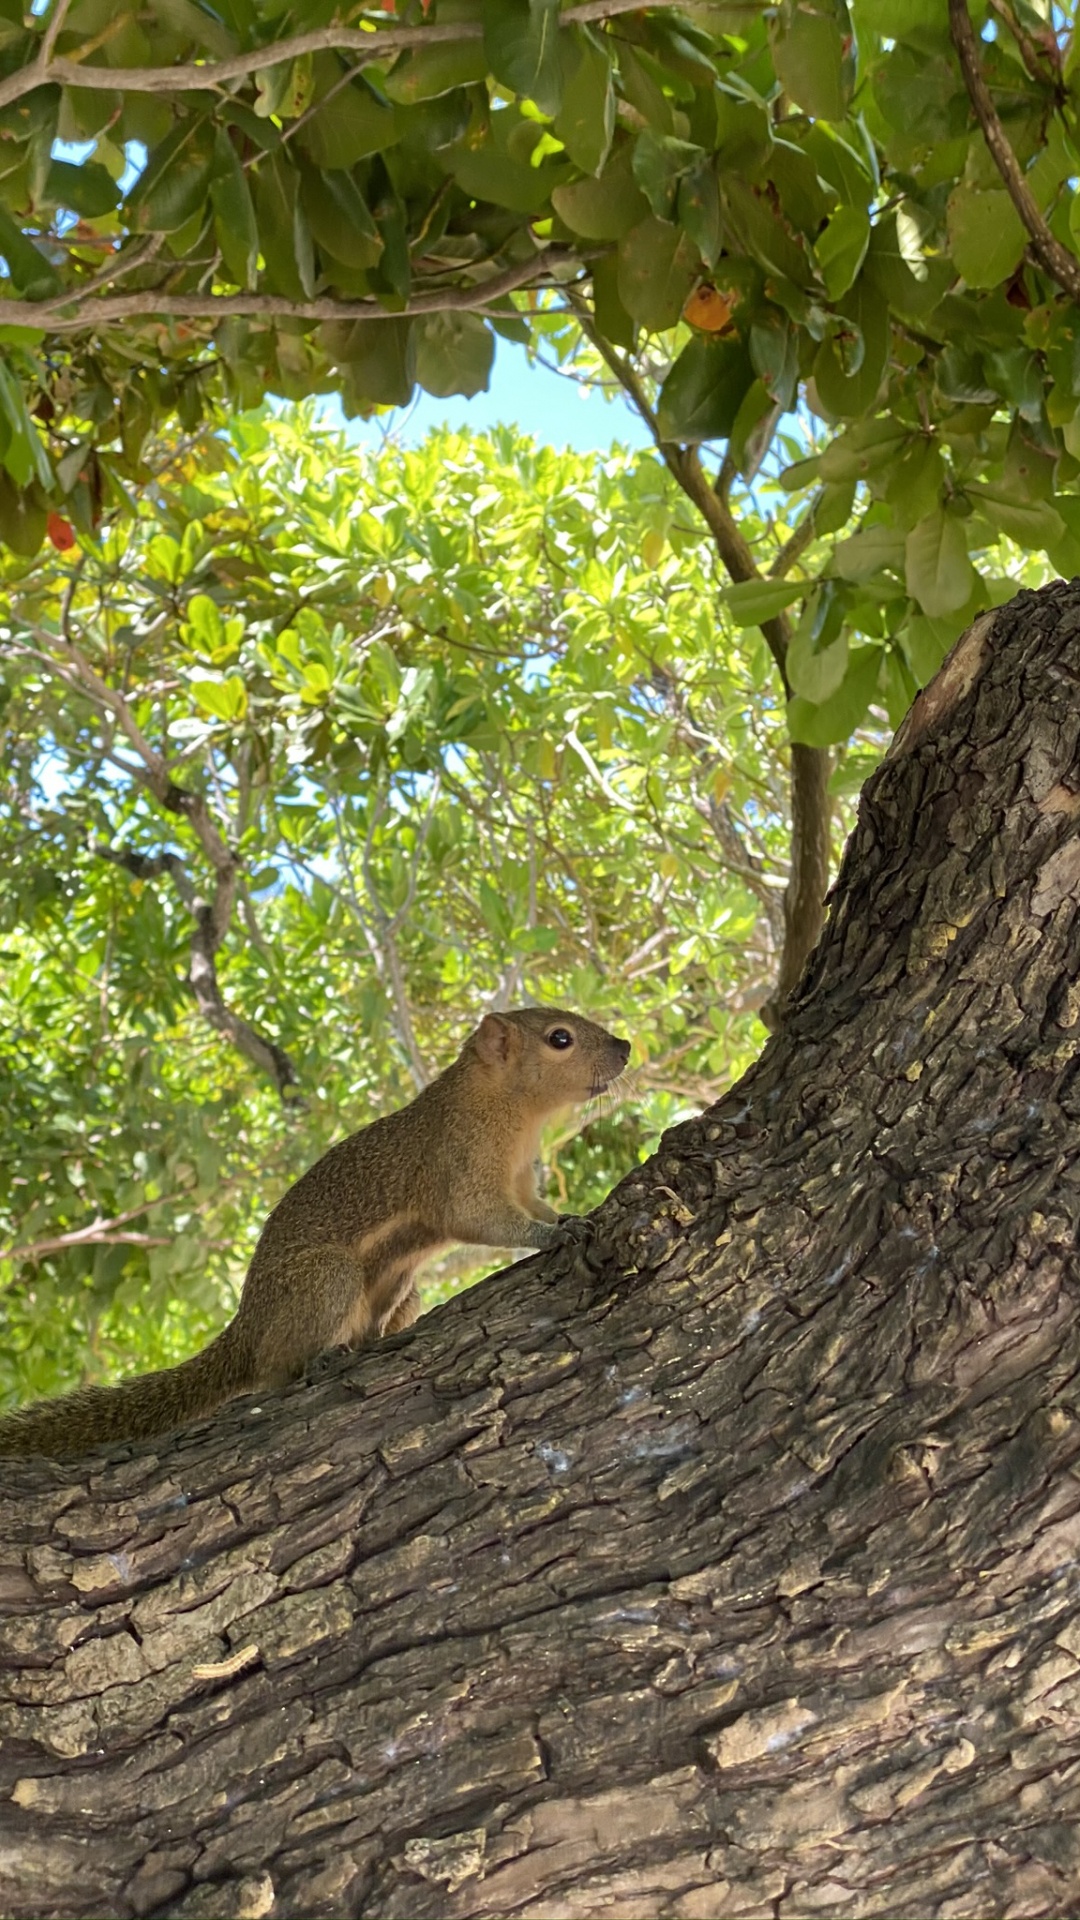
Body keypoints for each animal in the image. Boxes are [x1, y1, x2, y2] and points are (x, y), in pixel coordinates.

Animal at [0, 1008, 629, 1459]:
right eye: (559, 1038)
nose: (624, 1047)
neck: (513, 1115)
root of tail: (246, 1329)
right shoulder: (457, 1168)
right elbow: (482, 1220)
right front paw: (553, 1238)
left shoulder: (521, 1180)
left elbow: (536, 1207)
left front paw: (568, 1219)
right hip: (328, 1278)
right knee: (273, 1372)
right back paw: (317, 1362)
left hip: (402, 1290)